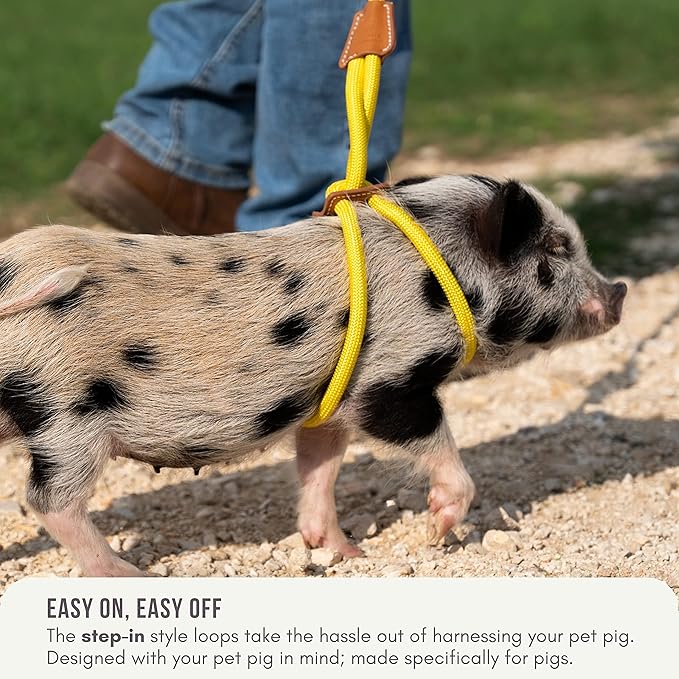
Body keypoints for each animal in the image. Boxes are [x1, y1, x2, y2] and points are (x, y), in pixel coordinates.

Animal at [0, 175, 626, 576]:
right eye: (554, 249)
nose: (619, 291)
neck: (442, 272)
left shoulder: (329, 399)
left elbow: (319, 466)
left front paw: (345, 554)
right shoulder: (388, 382)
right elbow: (434, 446)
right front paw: (437, 533)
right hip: (67, 416)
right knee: (48, 500)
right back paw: (131, 576)